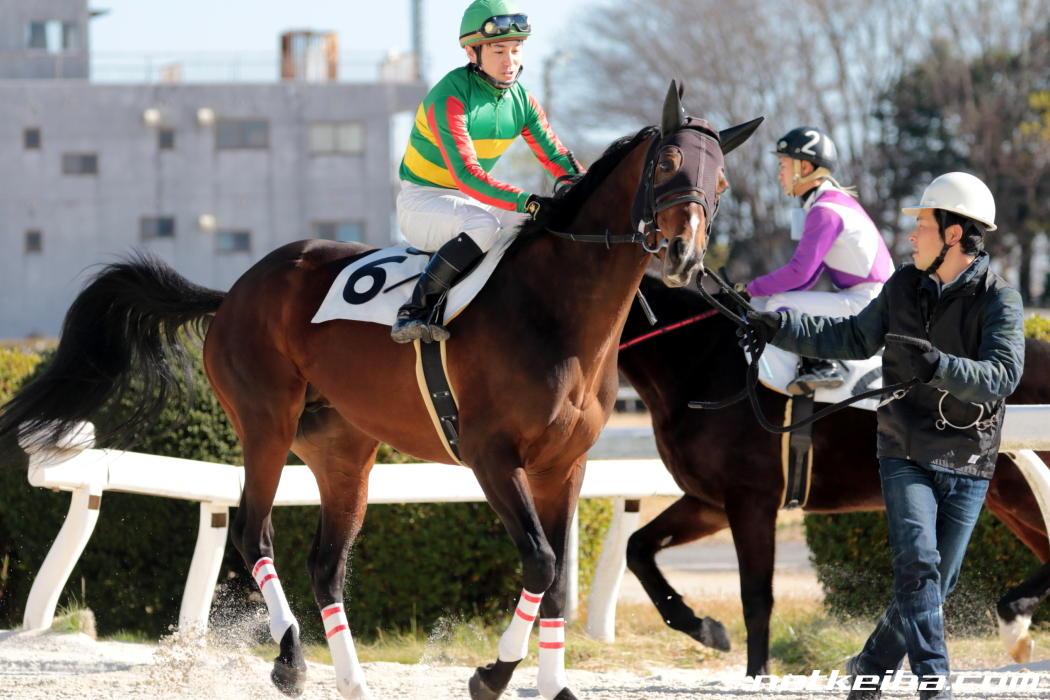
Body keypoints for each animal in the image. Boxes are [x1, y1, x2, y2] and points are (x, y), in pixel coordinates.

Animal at [0, 85, 762, 699]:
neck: (557, 310)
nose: (684, 254)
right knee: (252, 531)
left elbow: (554, 578)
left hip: (344, 450)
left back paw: (352, 678)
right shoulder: (491, 455)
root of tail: (235, 290)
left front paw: (551, 685)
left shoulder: (564, 465)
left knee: (326, 564)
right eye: (666, 165)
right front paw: (492, 675)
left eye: (722, 180)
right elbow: (543, 562)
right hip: (265, 424)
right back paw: (290, 661)